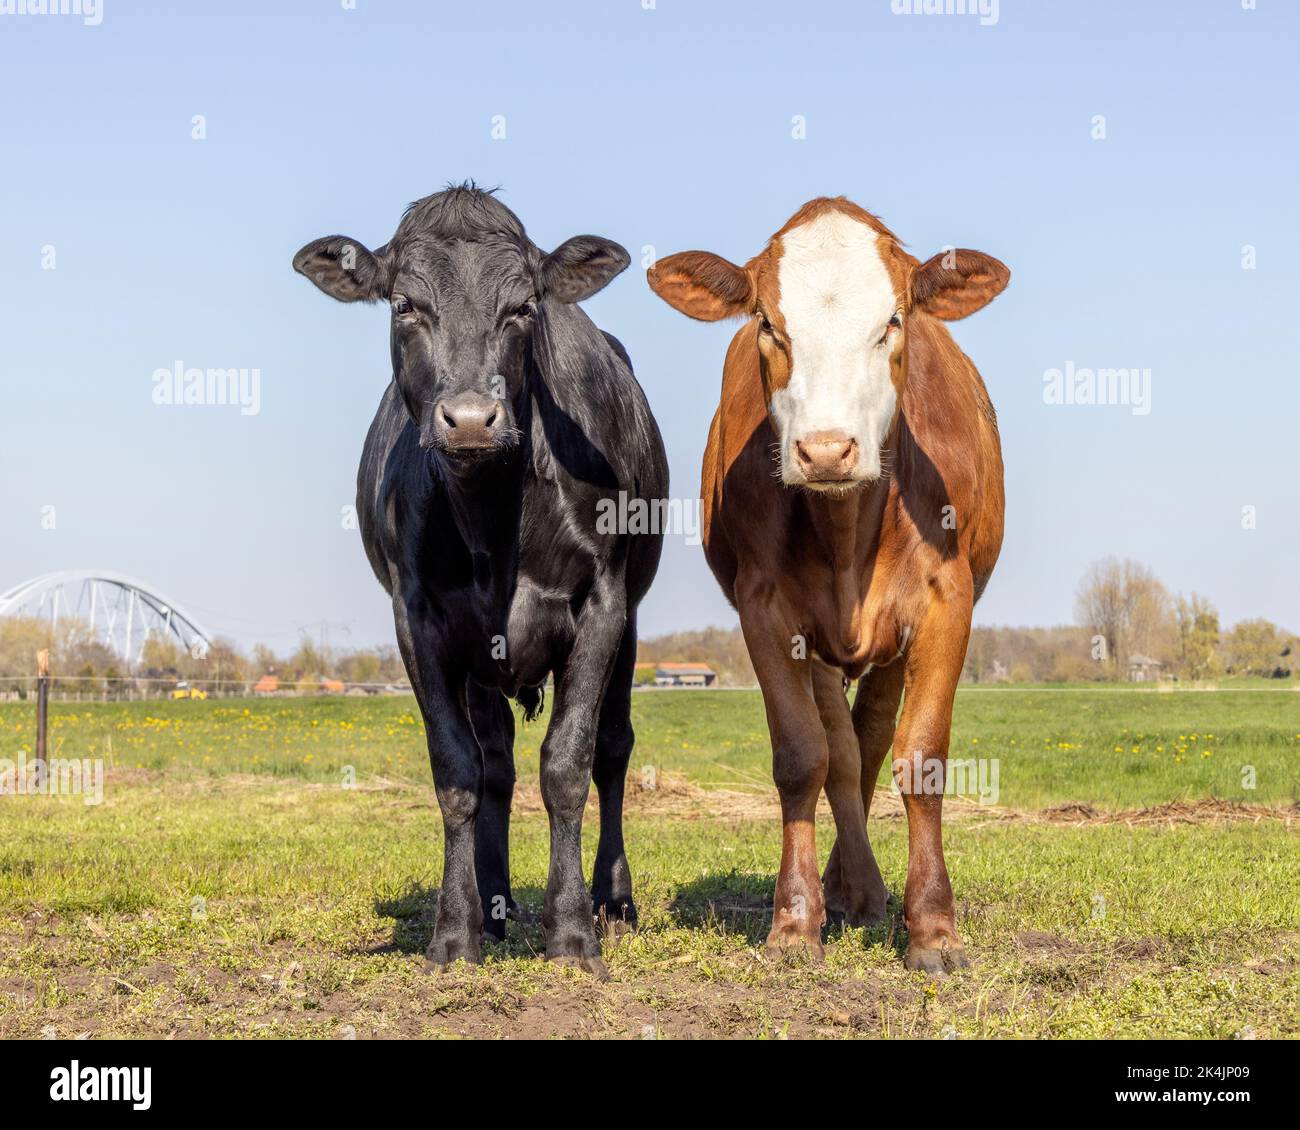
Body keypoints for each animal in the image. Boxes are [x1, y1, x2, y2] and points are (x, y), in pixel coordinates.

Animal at [292, 187, 660, 977]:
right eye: (405, 305)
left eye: (523, 306)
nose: (468, 419)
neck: (494, 514)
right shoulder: (419, 619)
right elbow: (458, 770)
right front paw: (455, 932)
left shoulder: (604, 604)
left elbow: (570, 763)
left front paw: (573, 932)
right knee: (496, 763)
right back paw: (493, 906)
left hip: (631, 618)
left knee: (614, 749)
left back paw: (614, 900)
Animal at [647, 198, 1003, 972]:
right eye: (767, 323)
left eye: (894, 319)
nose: (827, 450)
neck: (847, 526)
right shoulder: (766, 611)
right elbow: (803, 756)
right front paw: (794, 922)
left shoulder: (946, 601)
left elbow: (920, 756)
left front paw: (934, 930)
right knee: (841, 749)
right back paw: (854, 889)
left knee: (870, 738)